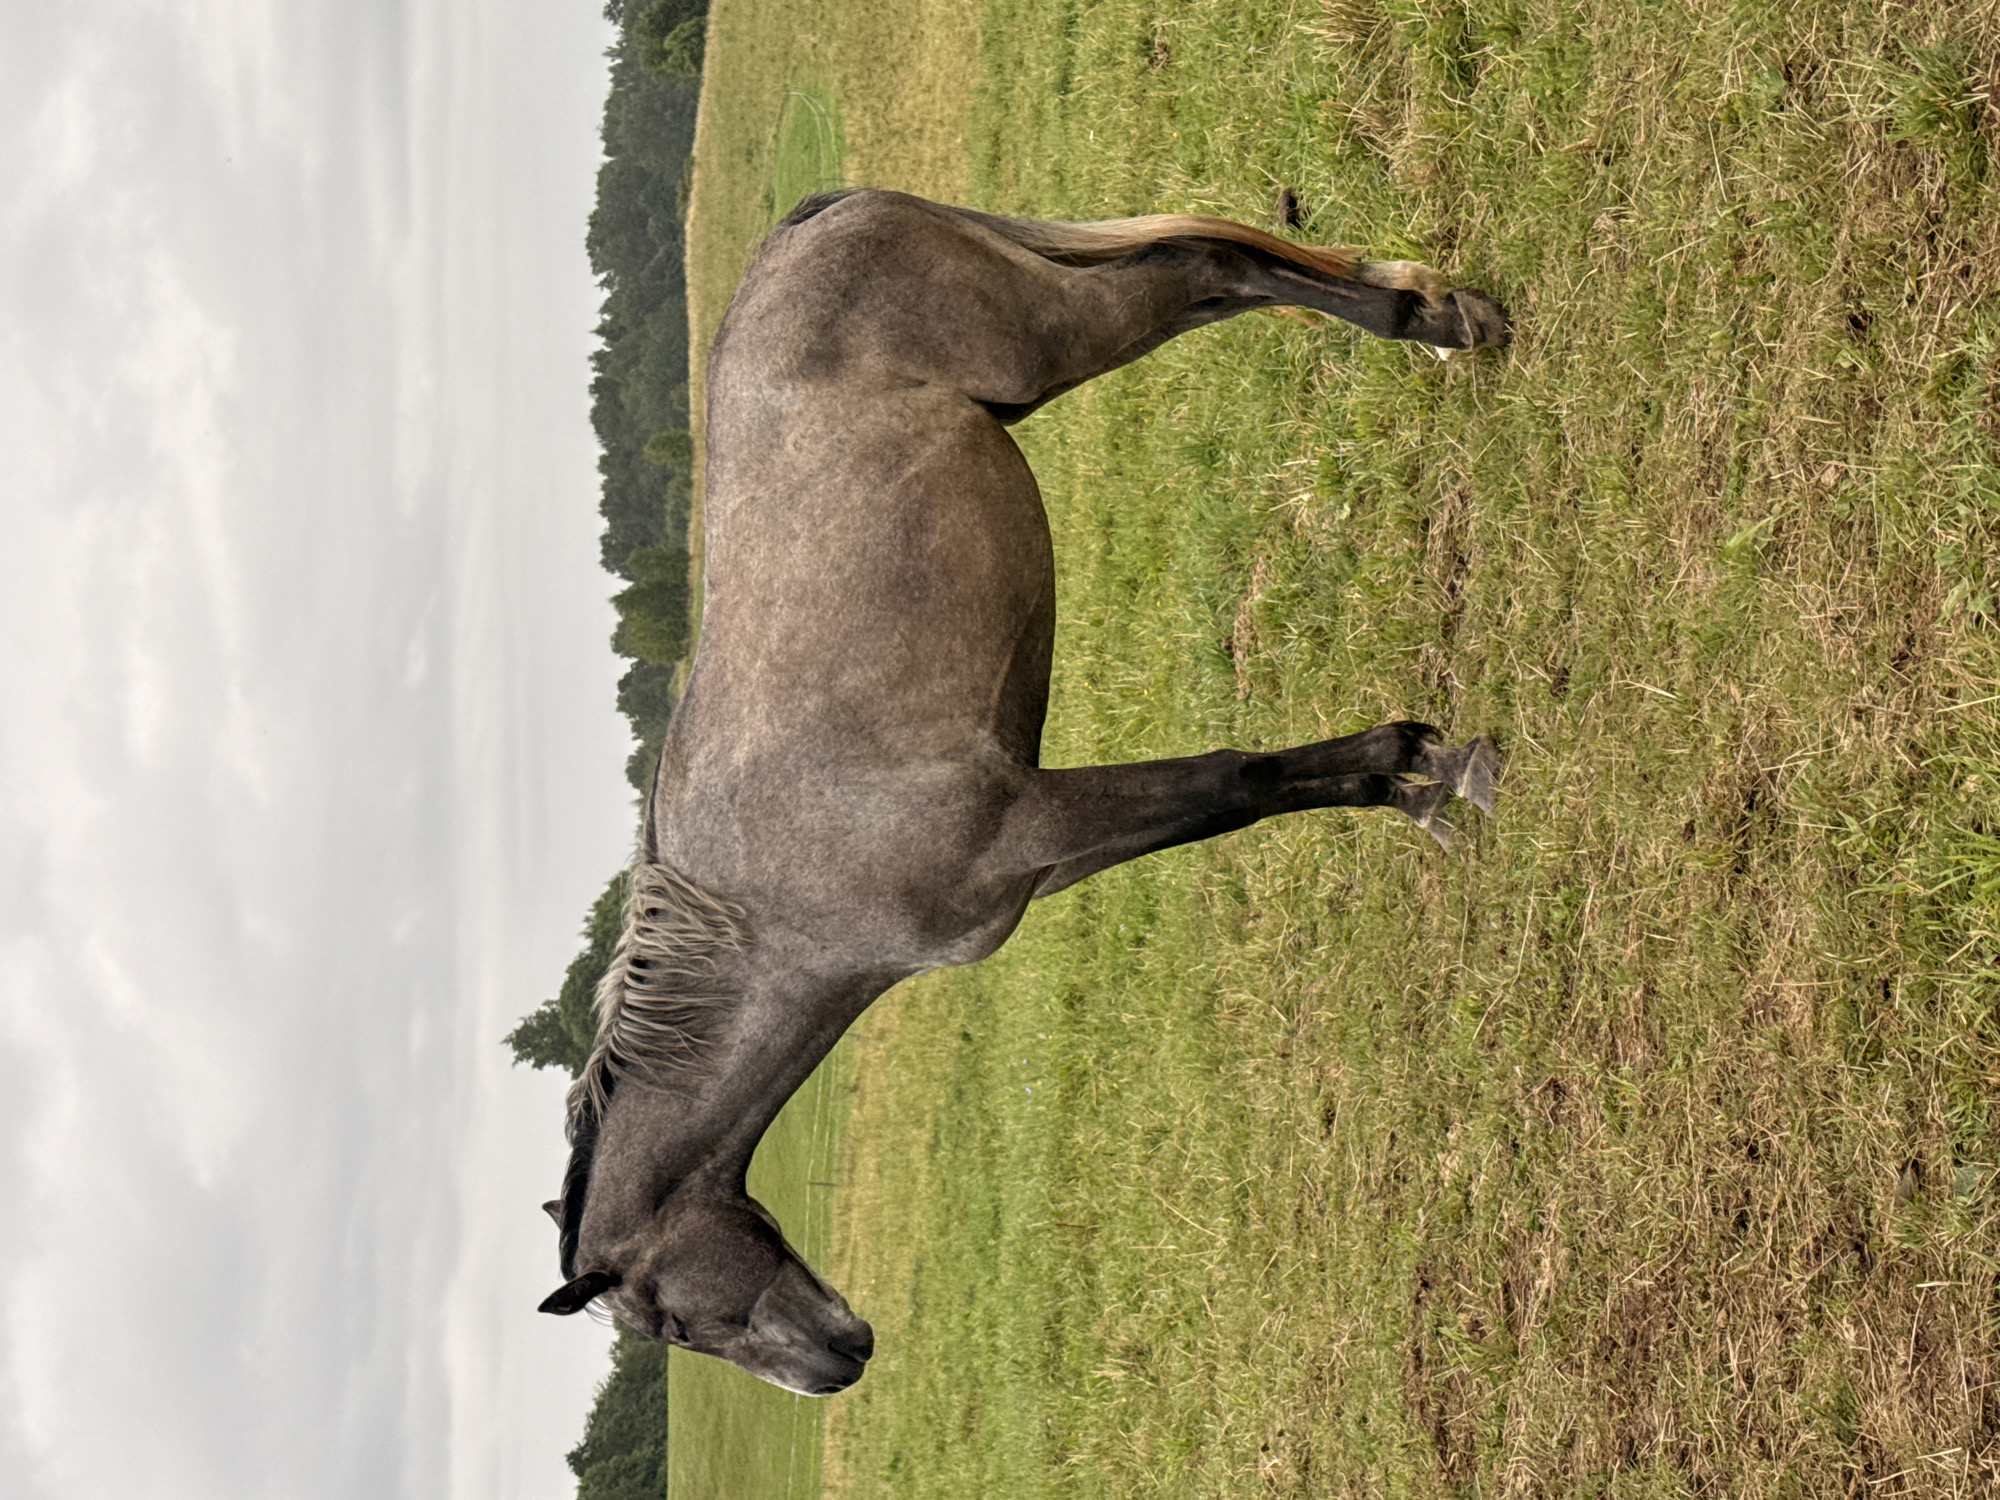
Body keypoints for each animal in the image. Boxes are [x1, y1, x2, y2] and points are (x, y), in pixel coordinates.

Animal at [538, 190, 1508, 1395]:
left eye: (670, 1321)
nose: (838, 1366)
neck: (777, 908)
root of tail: (818, 219)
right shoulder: (1040, 861)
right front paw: (1412, 775)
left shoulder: (1027, 820)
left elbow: (1235, 784)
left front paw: (1437, 769)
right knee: (1211, 275)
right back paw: (1427, 311)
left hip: (1055, 332)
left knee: (1207, 264)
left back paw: (1439, 322)